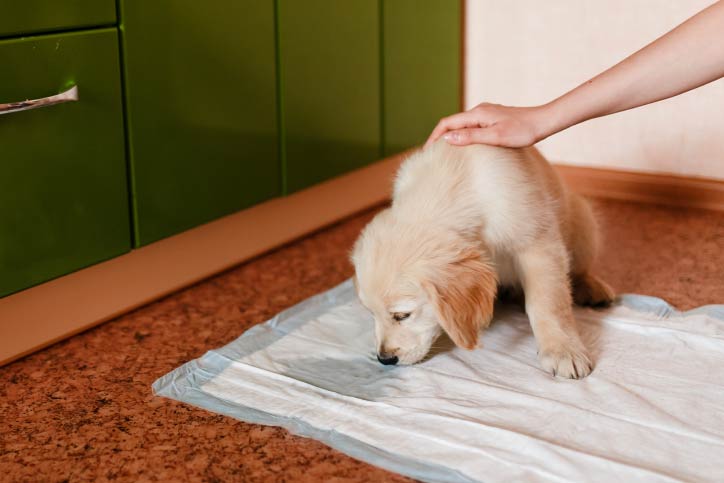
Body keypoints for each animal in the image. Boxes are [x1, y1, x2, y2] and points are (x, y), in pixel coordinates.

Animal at [354, 142, 612, 380]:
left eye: (402, 315)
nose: (384, 359)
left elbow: (547, 301)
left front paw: (562, 350)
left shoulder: (536, 241)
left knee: (578, 270)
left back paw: (592, 288)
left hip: (583, 222)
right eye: (371, 313)